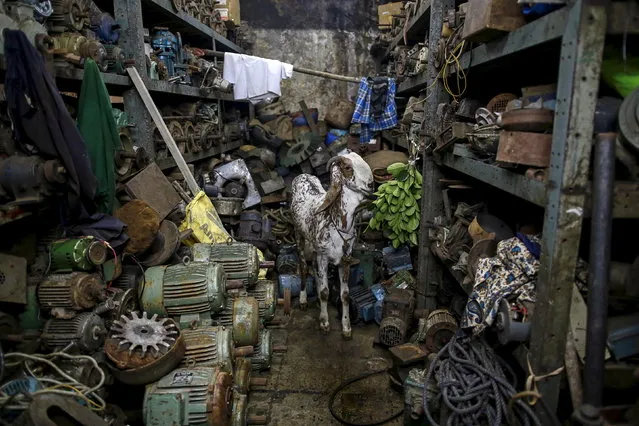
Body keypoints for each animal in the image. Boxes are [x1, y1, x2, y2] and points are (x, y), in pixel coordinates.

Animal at [292, 151, 376, 338]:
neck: (337, 221)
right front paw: (324, 323)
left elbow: (344, 294)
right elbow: (325, 292)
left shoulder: (345, 259)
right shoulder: (324, 256)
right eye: (347, 167)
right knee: (304, 267)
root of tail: (303, 175)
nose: (371, 184)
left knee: (314, 269)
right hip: (300, 237)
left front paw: (346, 327)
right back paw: (303, 300)